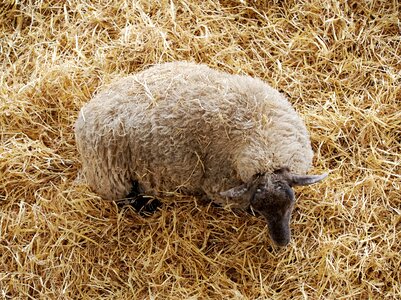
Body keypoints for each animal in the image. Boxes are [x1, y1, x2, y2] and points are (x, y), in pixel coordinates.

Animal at [74, 61, 324, 246]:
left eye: (290, 204)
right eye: (261, 209)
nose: (282, 243)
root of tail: (83, 118)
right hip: (112, 177)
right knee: (125, 200)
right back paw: (148, 206)